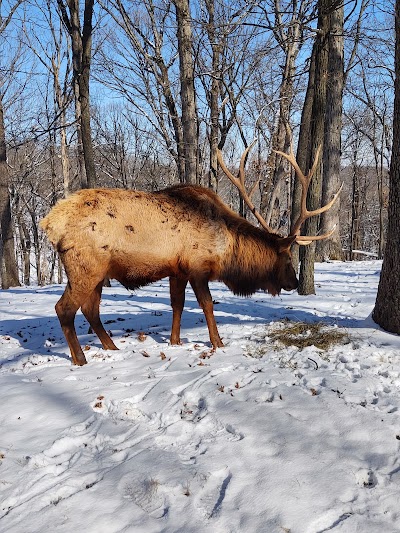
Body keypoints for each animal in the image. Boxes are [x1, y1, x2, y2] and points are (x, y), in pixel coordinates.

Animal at [39, 143, 340, 364]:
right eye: (287, 257)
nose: (295, 282)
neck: (227, 249)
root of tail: (50, 223)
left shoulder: (177, 270)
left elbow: (177, 305)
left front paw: (175, 341)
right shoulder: (198, 267)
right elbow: (207, 304)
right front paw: (218, 342)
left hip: (99, 273)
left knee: (90, 310)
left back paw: (111, 347)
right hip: (86, 267)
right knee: (64, 308)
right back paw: (80, 359)